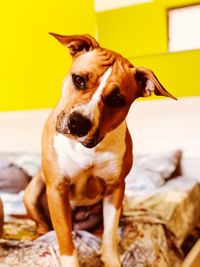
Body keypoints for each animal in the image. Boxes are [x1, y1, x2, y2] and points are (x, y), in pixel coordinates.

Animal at [23, 34, 177, 267]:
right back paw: (37, 235)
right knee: (46, 225)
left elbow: (110, 234)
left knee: (100, 230)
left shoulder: (116, 189)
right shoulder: (57, 188)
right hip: (33, 191)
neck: (91, 148)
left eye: (116, 99)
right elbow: (65, 239)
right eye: (78, 79)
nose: (78, 122)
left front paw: (111, 258)